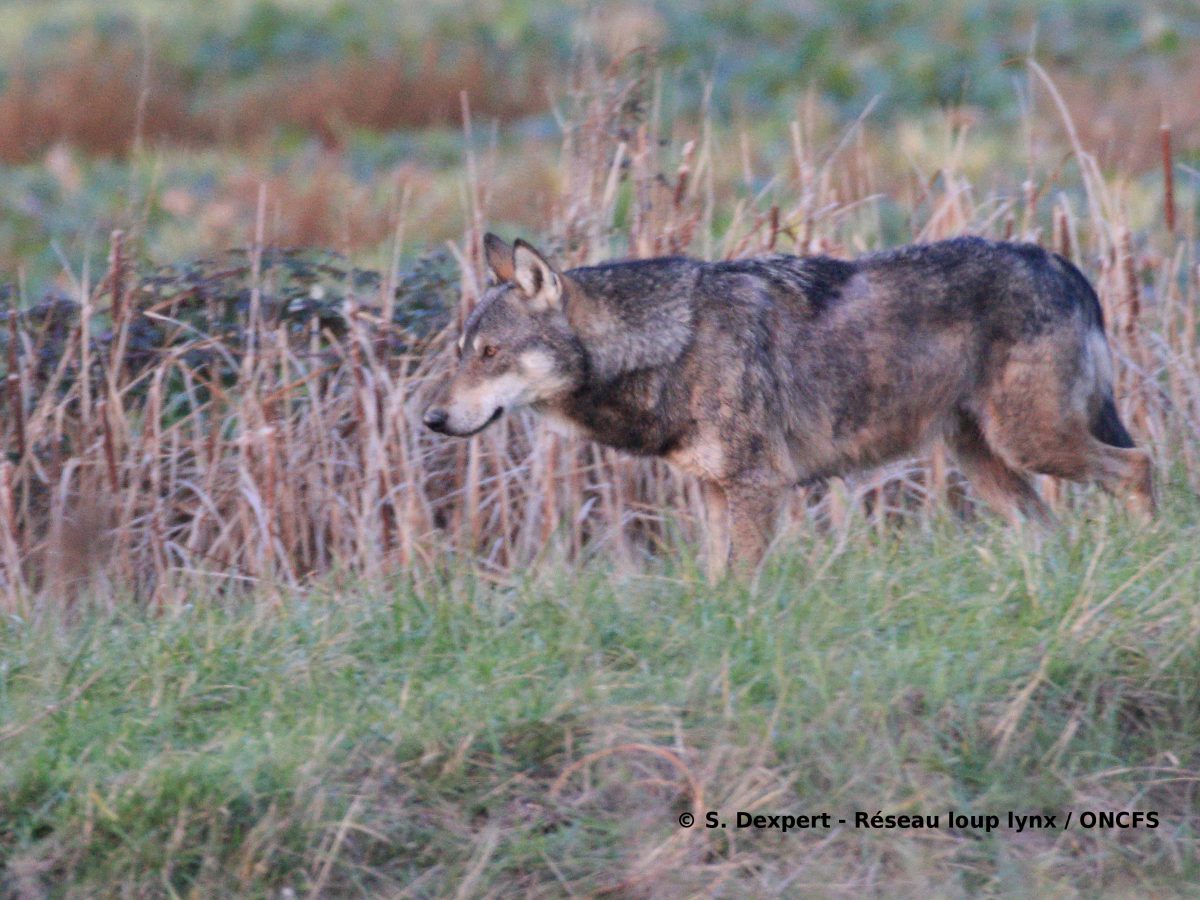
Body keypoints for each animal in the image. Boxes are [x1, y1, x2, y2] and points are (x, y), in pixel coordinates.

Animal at [422, 236, 1152, 580]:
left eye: (490, 353)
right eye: (461, 353)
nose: (431, 420)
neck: (669, 343)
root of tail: (1056, 258)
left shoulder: (755, 487)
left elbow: (743, 582)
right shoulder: (713, 493)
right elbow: (715, 582)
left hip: (1032, 443)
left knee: (1139, 466)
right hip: (987, 463)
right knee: (1050, 527)